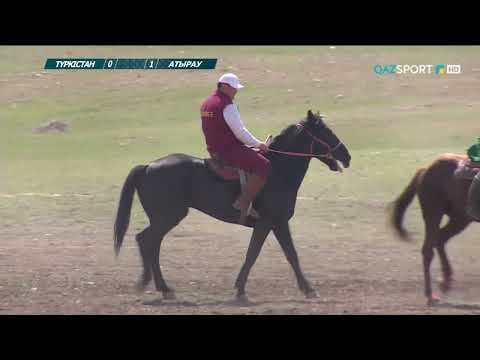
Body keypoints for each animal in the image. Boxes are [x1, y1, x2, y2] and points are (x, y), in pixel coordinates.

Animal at [114, 109, 350, 300]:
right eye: (325, 132)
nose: (346, 155)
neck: (278, 171)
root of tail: (147, 166)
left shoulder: (274, 224)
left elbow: (285, 254)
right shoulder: (271, 223)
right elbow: (265, 254)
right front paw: (243, 289)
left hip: (164, 219)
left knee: (149, 243)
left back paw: (158, 286)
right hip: (168, 217)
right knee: (147, 241)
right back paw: (159, 286)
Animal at [390, 153, 476, 306]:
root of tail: (425, 169)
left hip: (459, 219)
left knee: (440, 239)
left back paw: (445, 282)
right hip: (435, 214)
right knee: (428, 250)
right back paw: (430, 294)